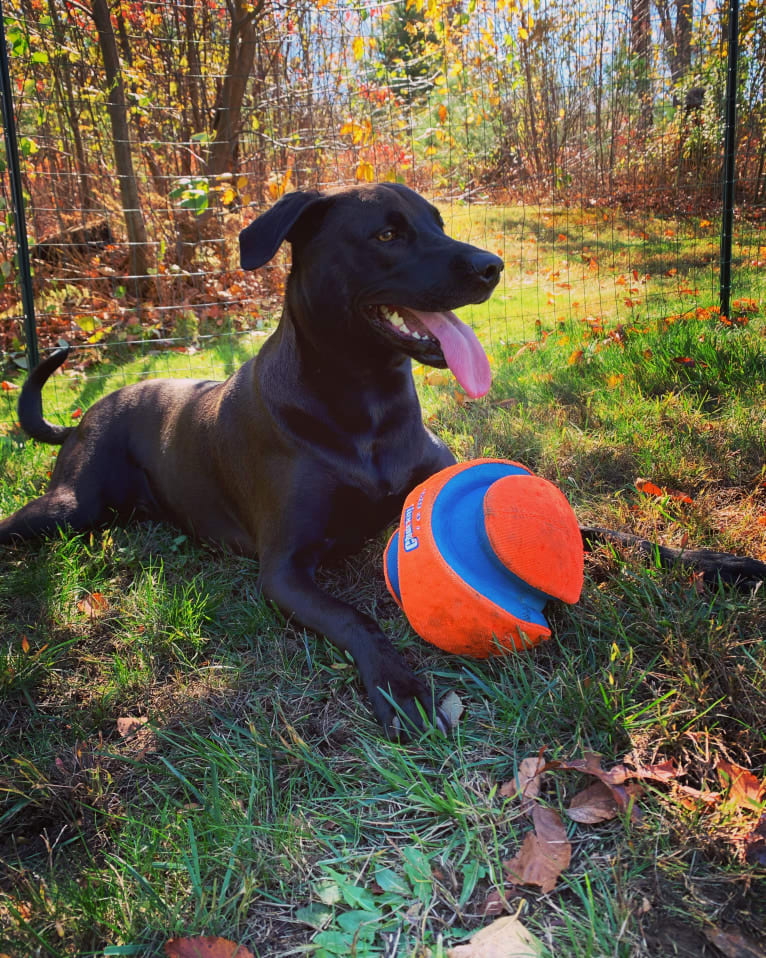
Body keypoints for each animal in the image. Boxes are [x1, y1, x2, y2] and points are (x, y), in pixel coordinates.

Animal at [3, 182, 764, 736]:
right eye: (388, 234)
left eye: (436, 222)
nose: (492, 266)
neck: (365, 405)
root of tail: (82, 418)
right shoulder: (284, 569)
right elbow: (354, 617)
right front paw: (398, 684)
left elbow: (600, 528)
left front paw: (717, 562)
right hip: (71, 508)